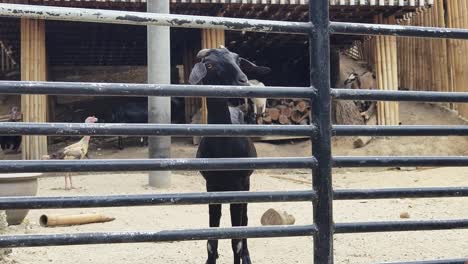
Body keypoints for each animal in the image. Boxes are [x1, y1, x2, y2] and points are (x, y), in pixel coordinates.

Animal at [189, 47, 270, 264]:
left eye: (238, 60)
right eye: (209, 65)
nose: (243, 81)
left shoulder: (239, 185)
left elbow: (237, 240)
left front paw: (241, 256)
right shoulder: (211, 186)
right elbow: (212, 240)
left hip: (246, 186)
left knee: (245, 222)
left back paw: (247, 256)